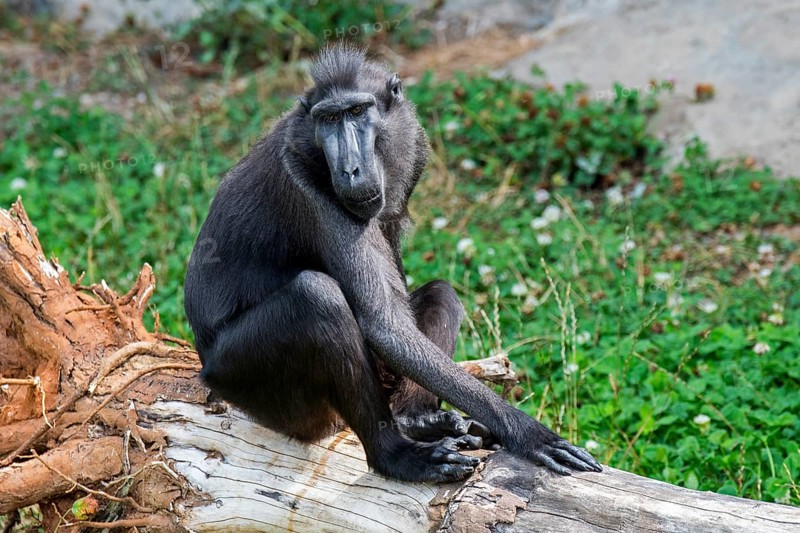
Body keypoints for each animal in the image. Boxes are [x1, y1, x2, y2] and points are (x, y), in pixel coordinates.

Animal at [184, 44, 602, 482]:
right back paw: (396, 455)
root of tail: (205, 367)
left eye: (357, 111)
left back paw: (414, 420)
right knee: (316, 298)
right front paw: (528, 433)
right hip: (253, 388)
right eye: (329, 119)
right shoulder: (305, 183)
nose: (351, 169)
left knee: (440, 294)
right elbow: (384, 323)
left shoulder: (411, 148)